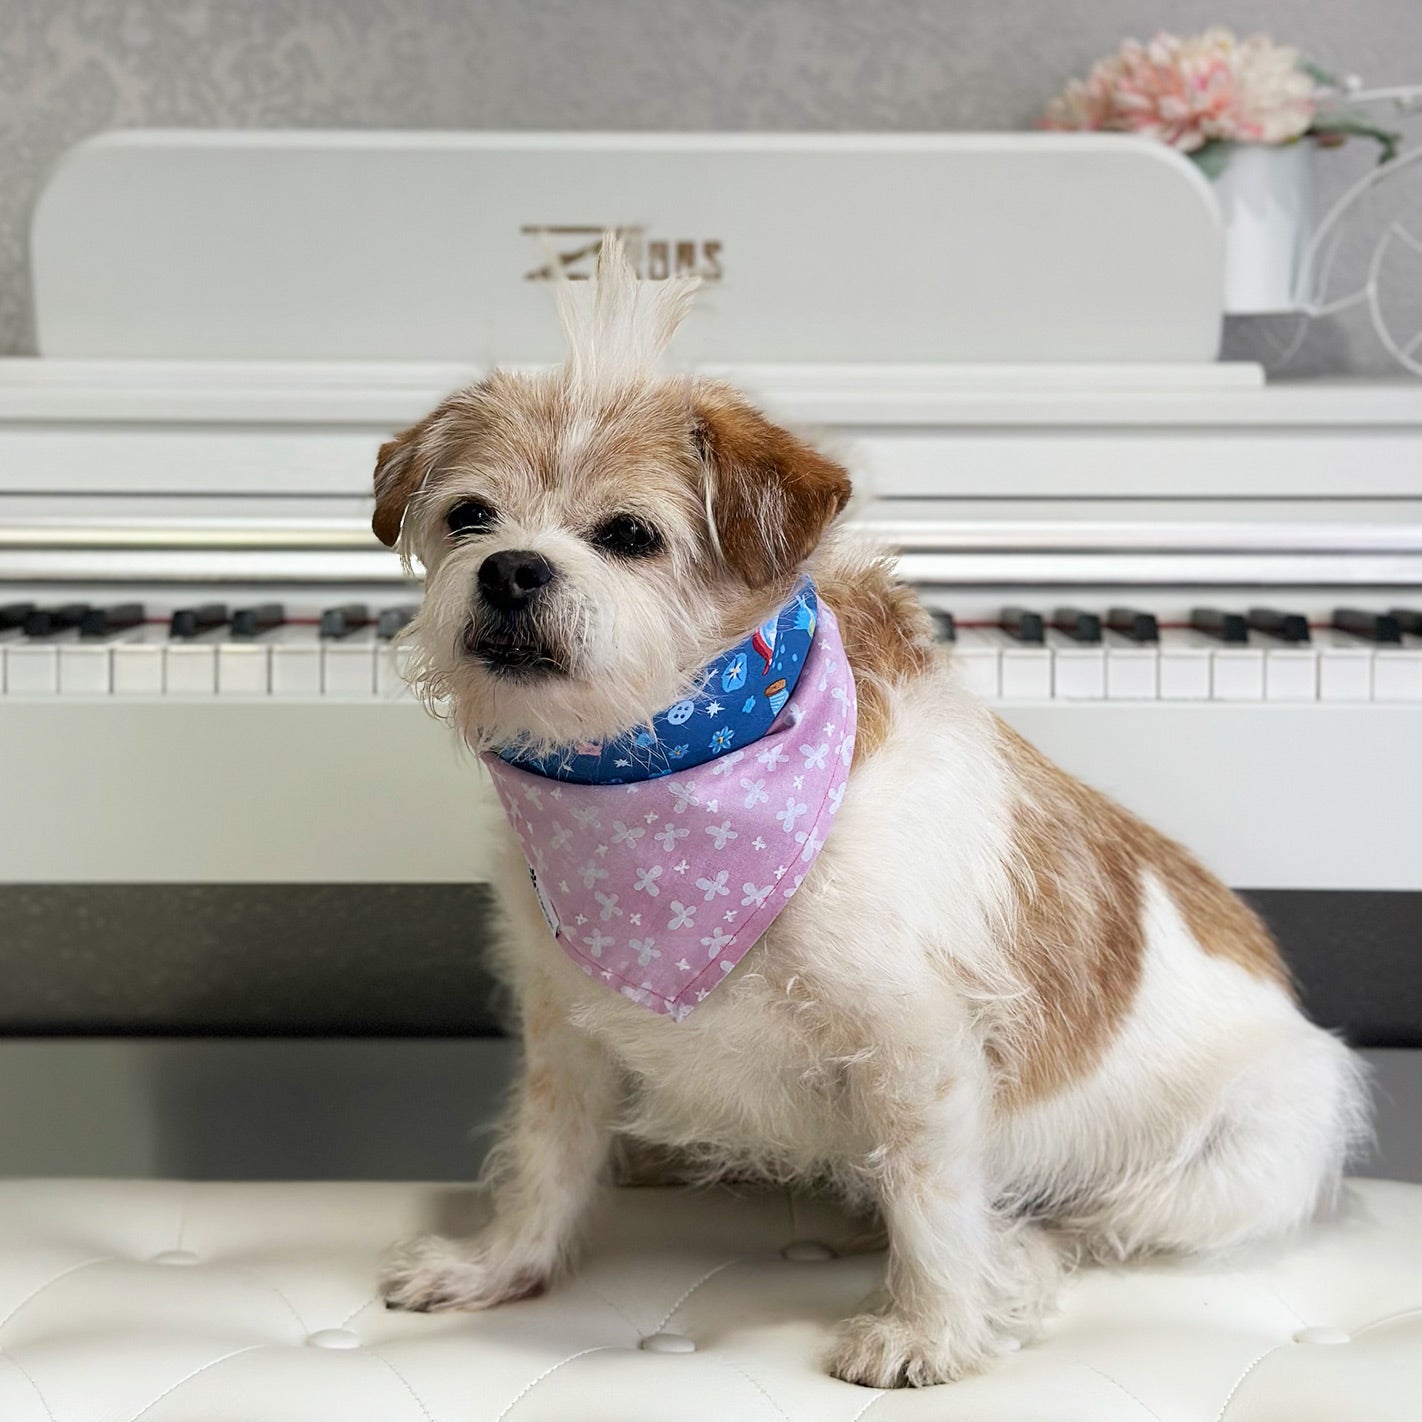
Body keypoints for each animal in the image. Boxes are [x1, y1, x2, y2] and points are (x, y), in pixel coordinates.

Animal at [372, 241, 1370, 1387]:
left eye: (629, 535)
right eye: (469, 516)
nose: (509, 569)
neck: (661, 770)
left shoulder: (919, 1048)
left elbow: (933, 1199)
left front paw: (927, 1329)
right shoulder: (564, 1025)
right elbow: (546, 1153)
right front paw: (500, 1264)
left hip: (1232, 1159)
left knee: (1080, 1225)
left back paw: (1013, 1266)